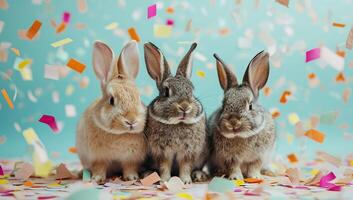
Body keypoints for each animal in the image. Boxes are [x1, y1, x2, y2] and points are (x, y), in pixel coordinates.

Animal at [76, 40, 148, 183]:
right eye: (111, 100)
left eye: (139, 98)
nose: (131, 121)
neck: (119, 134)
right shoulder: (98, 158)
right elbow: (99, 167)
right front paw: (97, 179)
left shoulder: (131, 159)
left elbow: (129, 167)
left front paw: (131, 177)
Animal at [143, 42, 208, 184]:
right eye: (166, 92)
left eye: (192, 91)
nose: (184, 106)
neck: (178, 123)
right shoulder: (162, 152)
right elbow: (164, 166)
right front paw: (164, 181)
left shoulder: (188, 152)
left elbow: (185, 166)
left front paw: (186, 181)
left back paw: (198, 175)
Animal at [208, 51, 276, 180]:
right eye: (223, 104)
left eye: (250, 105)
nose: (233, 122)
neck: (242, 136)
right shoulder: (229, 157)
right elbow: (233, 167)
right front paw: (235, 178)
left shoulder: (260, 156)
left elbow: (255, 166)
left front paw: (255, 177)